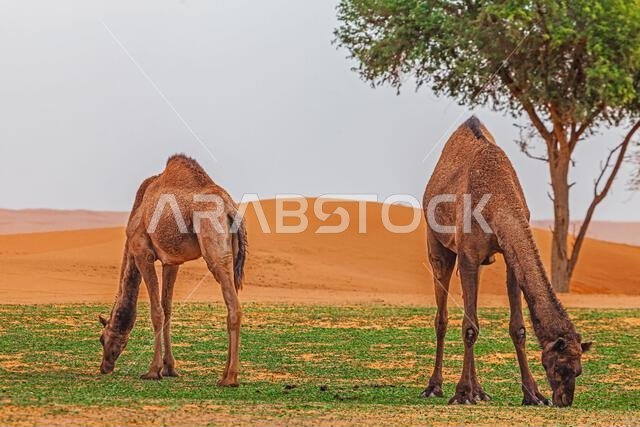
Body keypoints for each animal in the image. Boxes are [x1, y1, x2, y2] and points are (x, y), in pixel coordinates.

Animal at [98, 154, 247, 386]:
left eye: (101, 339)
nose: (105, 367)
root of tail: (230, 208)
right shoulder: (172, 262)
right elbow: (167, 308)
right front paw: (169, 368)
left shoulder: (142, 252)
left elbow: (156, 312)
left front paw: (153, 370)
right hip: (230, 253)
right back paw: (224, 374)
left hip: (213, 248)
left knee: (233, 307)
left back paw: (230, 378)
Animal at [420, 117, 591, 407]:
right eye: (558, 367)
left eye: (578, 370)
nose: (564, 400)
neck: (498, 201)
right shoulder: (467, 254)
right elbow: (469, 327)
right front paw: (461, 394)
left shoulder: (508, 257)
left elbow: (518, 328)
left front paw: (533, 395)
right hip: (438, 245)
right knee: (442, 317)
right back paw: (436, 387)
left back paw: (480, 391)